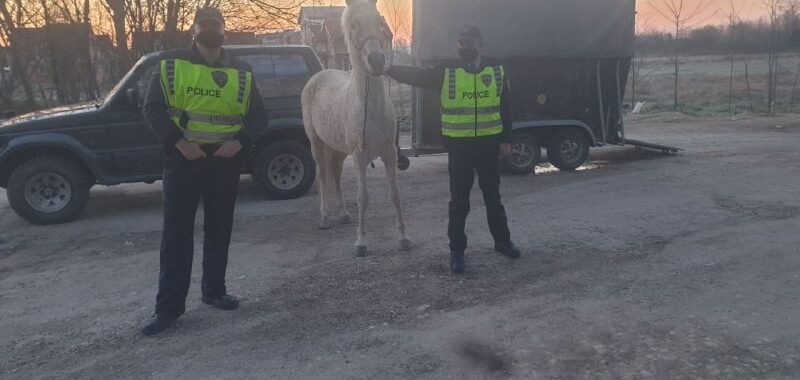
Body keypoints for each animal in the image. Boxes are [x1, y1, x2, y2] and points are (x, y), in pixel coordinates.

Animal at [302, 0, 412, 258]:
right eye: (353, 26)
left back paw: (343, 214)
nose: (377, 61)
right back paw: (325, 218)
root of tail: (318, 77)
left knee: (336, 174)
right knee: (323, 175)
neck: (370, 107)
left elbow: (395, 195)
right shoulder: (360, 156)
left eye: (378, 22)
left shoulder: (389, 153)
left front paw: (404, 238)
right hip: (317, 144)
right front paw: (361, 243)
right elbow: (363, 197)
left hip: (340, 151)